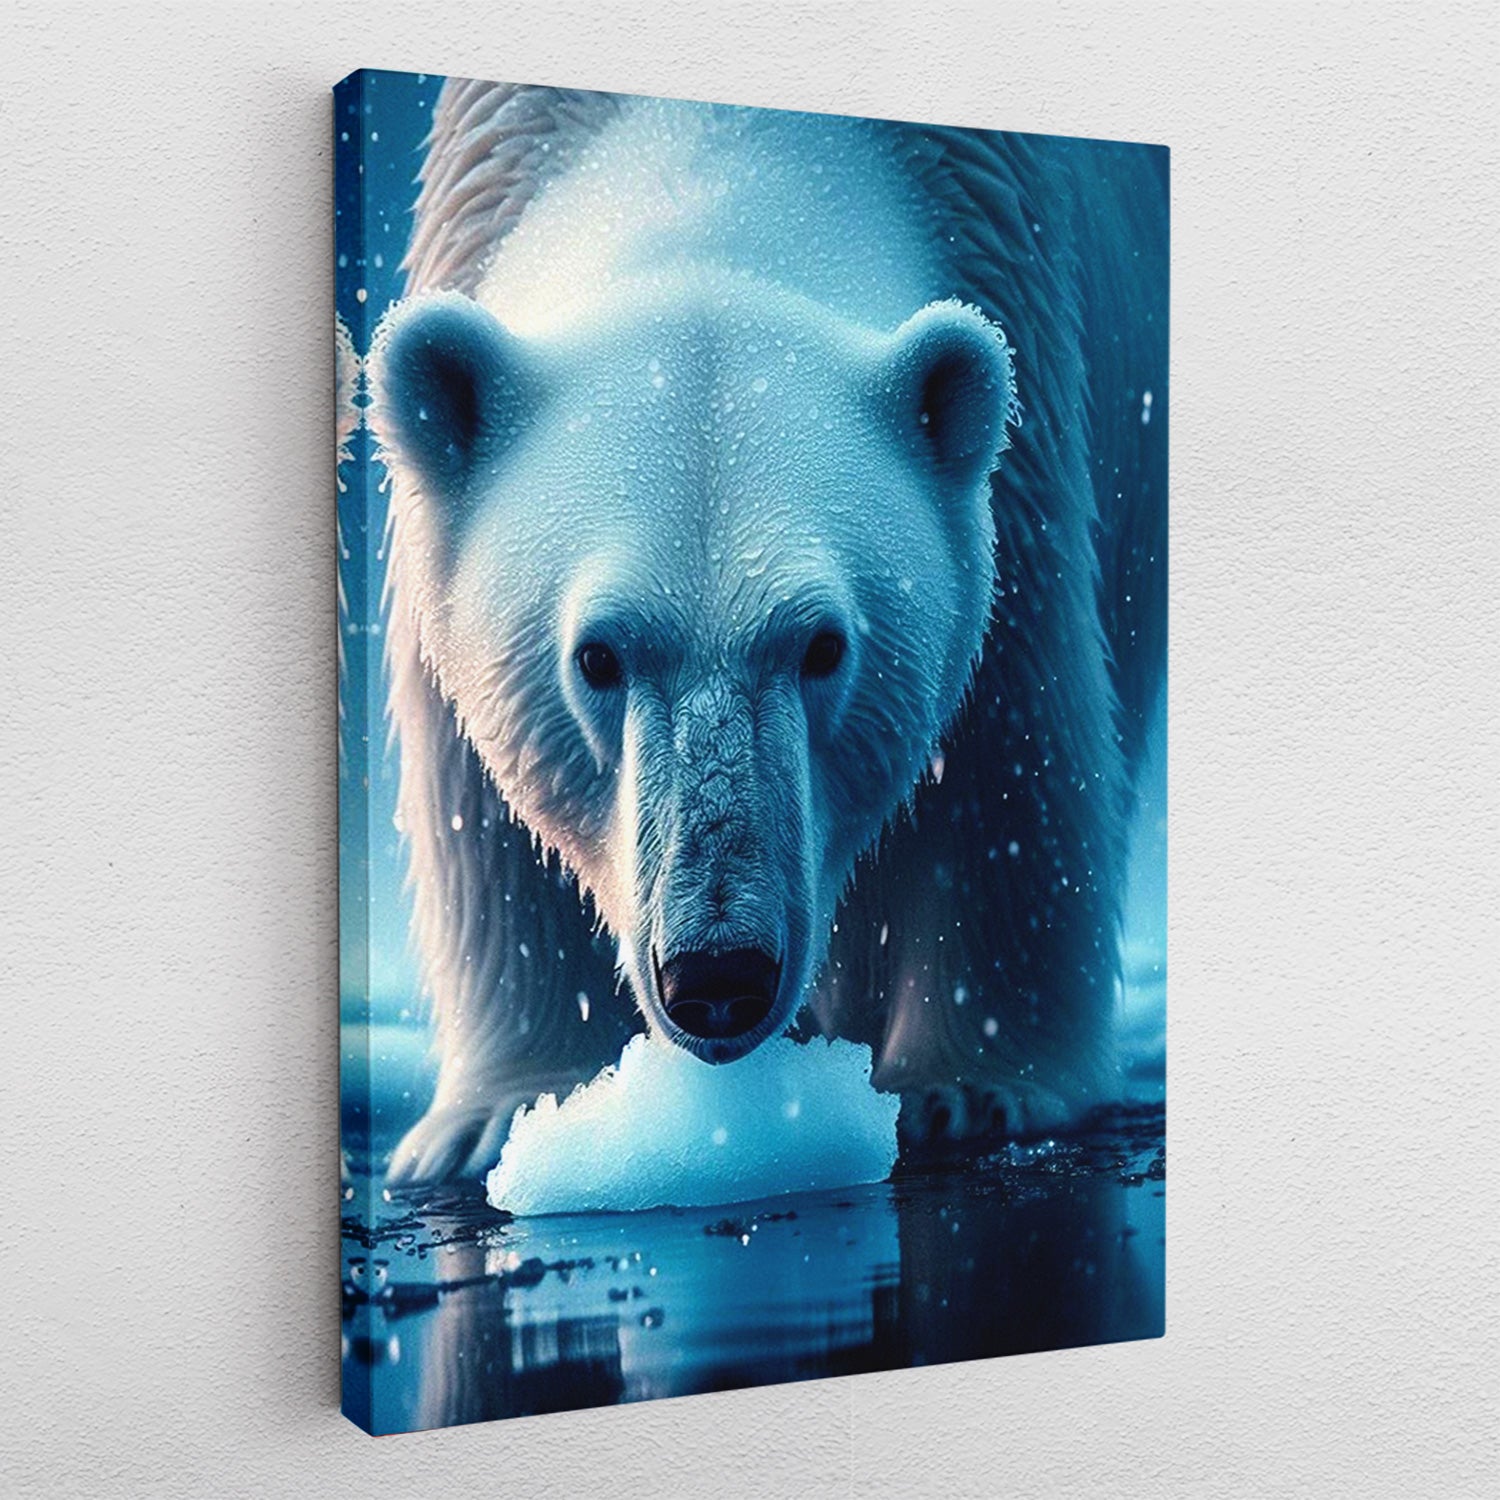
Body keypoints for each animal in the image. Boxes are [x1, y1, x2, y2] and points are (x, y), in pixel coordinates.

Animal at [368, 82, 1167, 1186]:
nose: (718, 974)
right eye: (597, 655)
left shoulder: (1026, 420)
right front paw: (501, 1114)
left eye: (822, 645)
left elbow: (1002, 766)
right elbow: (481, 805)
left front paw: (967, 1089)